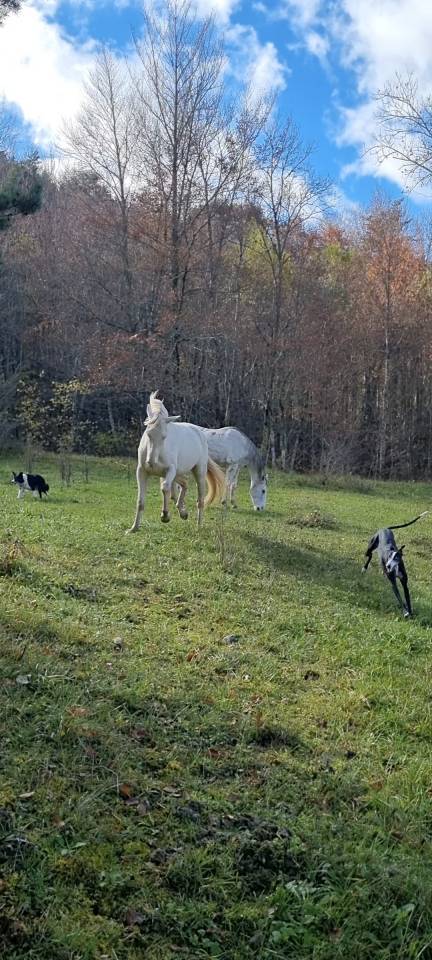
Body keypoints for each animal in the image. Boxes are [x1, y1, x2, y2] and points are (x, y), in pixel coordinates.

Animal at [127, 392, 225, 533]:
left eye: (164, 436)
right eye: (148, 434)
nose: (151, 462)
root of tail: (199, 432)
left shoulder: (170, 470)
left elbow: (165, 488)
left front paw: (165, 516)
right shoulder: (142, 472)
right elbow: (141, 501)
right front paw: (133, 528)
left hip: (198, 472)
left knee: (199, 499)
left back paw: (198, 526)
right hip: (176, 474)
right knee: (183, 484)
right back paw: (183, 513)